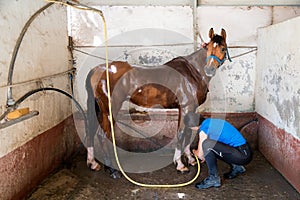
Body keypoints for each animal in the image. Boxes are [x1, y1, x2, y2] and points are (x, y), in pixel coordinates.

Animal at [84, 27, 230, 177]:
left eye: (223, 48)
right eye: (208, 48)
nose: (209, 69)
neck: (193, 72)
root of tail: (97, 70)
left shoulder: (190, 109)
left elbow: (188, 133)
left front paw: (190, 159)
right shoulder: (186, 108)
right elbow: (181, 134)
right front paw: (180, 165)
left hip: (98, 109)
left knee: (90, 131)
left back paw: (93, 163)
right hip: (110, 110)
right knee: (102, 135)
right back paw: (112, 169)